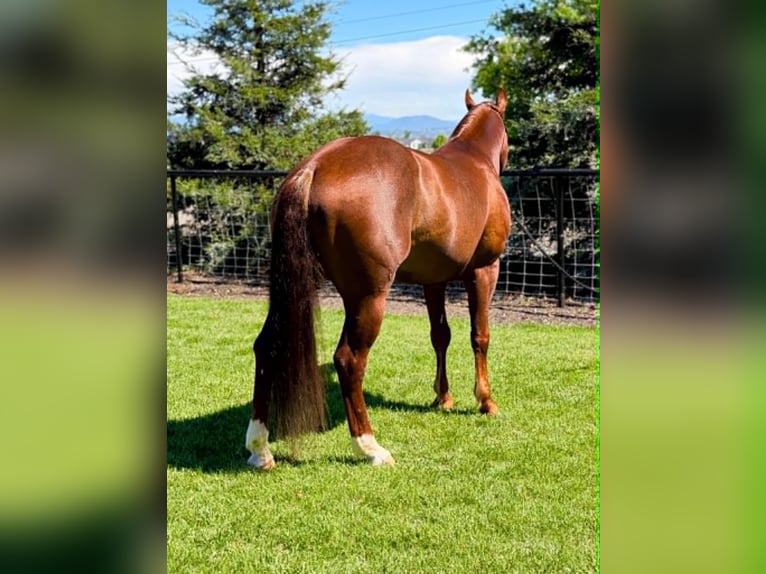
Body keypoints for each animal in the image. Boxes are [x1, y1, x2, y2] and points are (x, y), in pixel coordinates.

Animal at [246, 89, 510, 470]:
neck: (474, 161)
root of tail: (315, 167)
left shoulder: (434, 280)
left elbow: (440, 336)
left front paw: (443, 397)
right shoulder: (485, 269)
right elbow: (480, 336)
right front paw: (486, 401)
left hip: (290, 290)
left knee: (267, 346)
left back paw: (260, 448)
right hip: (368, 297)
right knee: (349, 360)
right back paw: (370, 447)